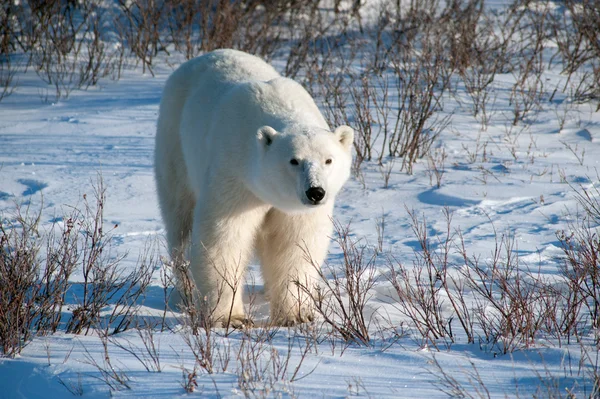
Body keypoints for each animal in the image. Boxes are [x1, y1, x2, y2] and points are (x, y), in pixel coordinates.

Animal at [155, 49, 354, 328]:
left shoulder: (295, 209)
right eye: (294, 160)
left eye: (328, 160)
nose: (315, 192)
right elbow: (224, 238)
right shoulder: (235, 176)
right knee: (179, 220)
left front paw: (296, 315)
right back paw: (186, 292)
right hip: (174, 143)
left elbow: (295, 244)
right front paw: (231, 318)